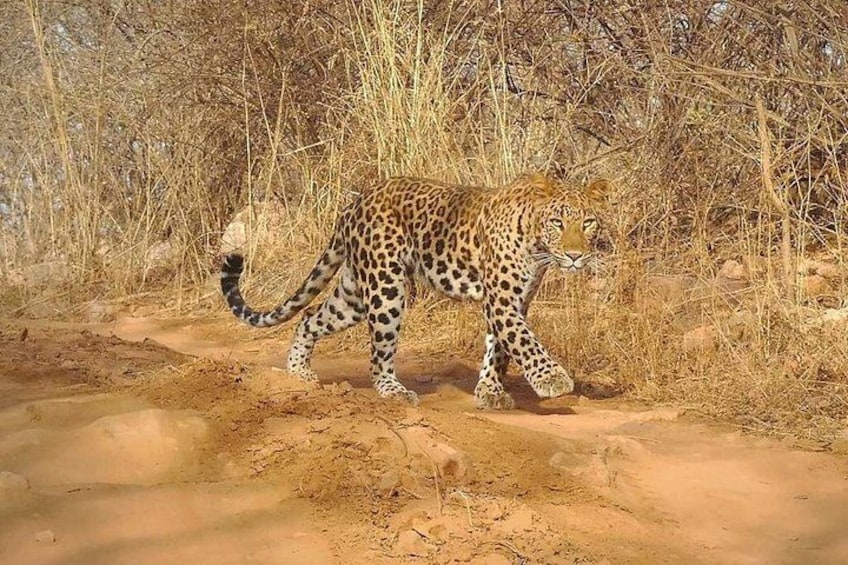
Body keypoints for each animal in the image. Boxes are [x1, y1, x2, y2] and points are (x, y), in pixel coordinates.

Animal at [221, 172, 609, 409]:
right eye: (558, 222)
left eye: (588, 222)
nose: (575, 256)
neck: (535, 242)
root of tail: (356, 202)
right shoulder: (501, 301)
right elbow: (523, 340)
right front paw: (553, 379)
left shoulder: (515, 300)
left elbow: (499, 349)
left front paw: (490, 392)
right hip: (385, 289)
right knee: (379, 354)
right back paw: (393, 391)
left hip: (354, 294)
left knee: (309, 315)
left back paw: (299, 372)